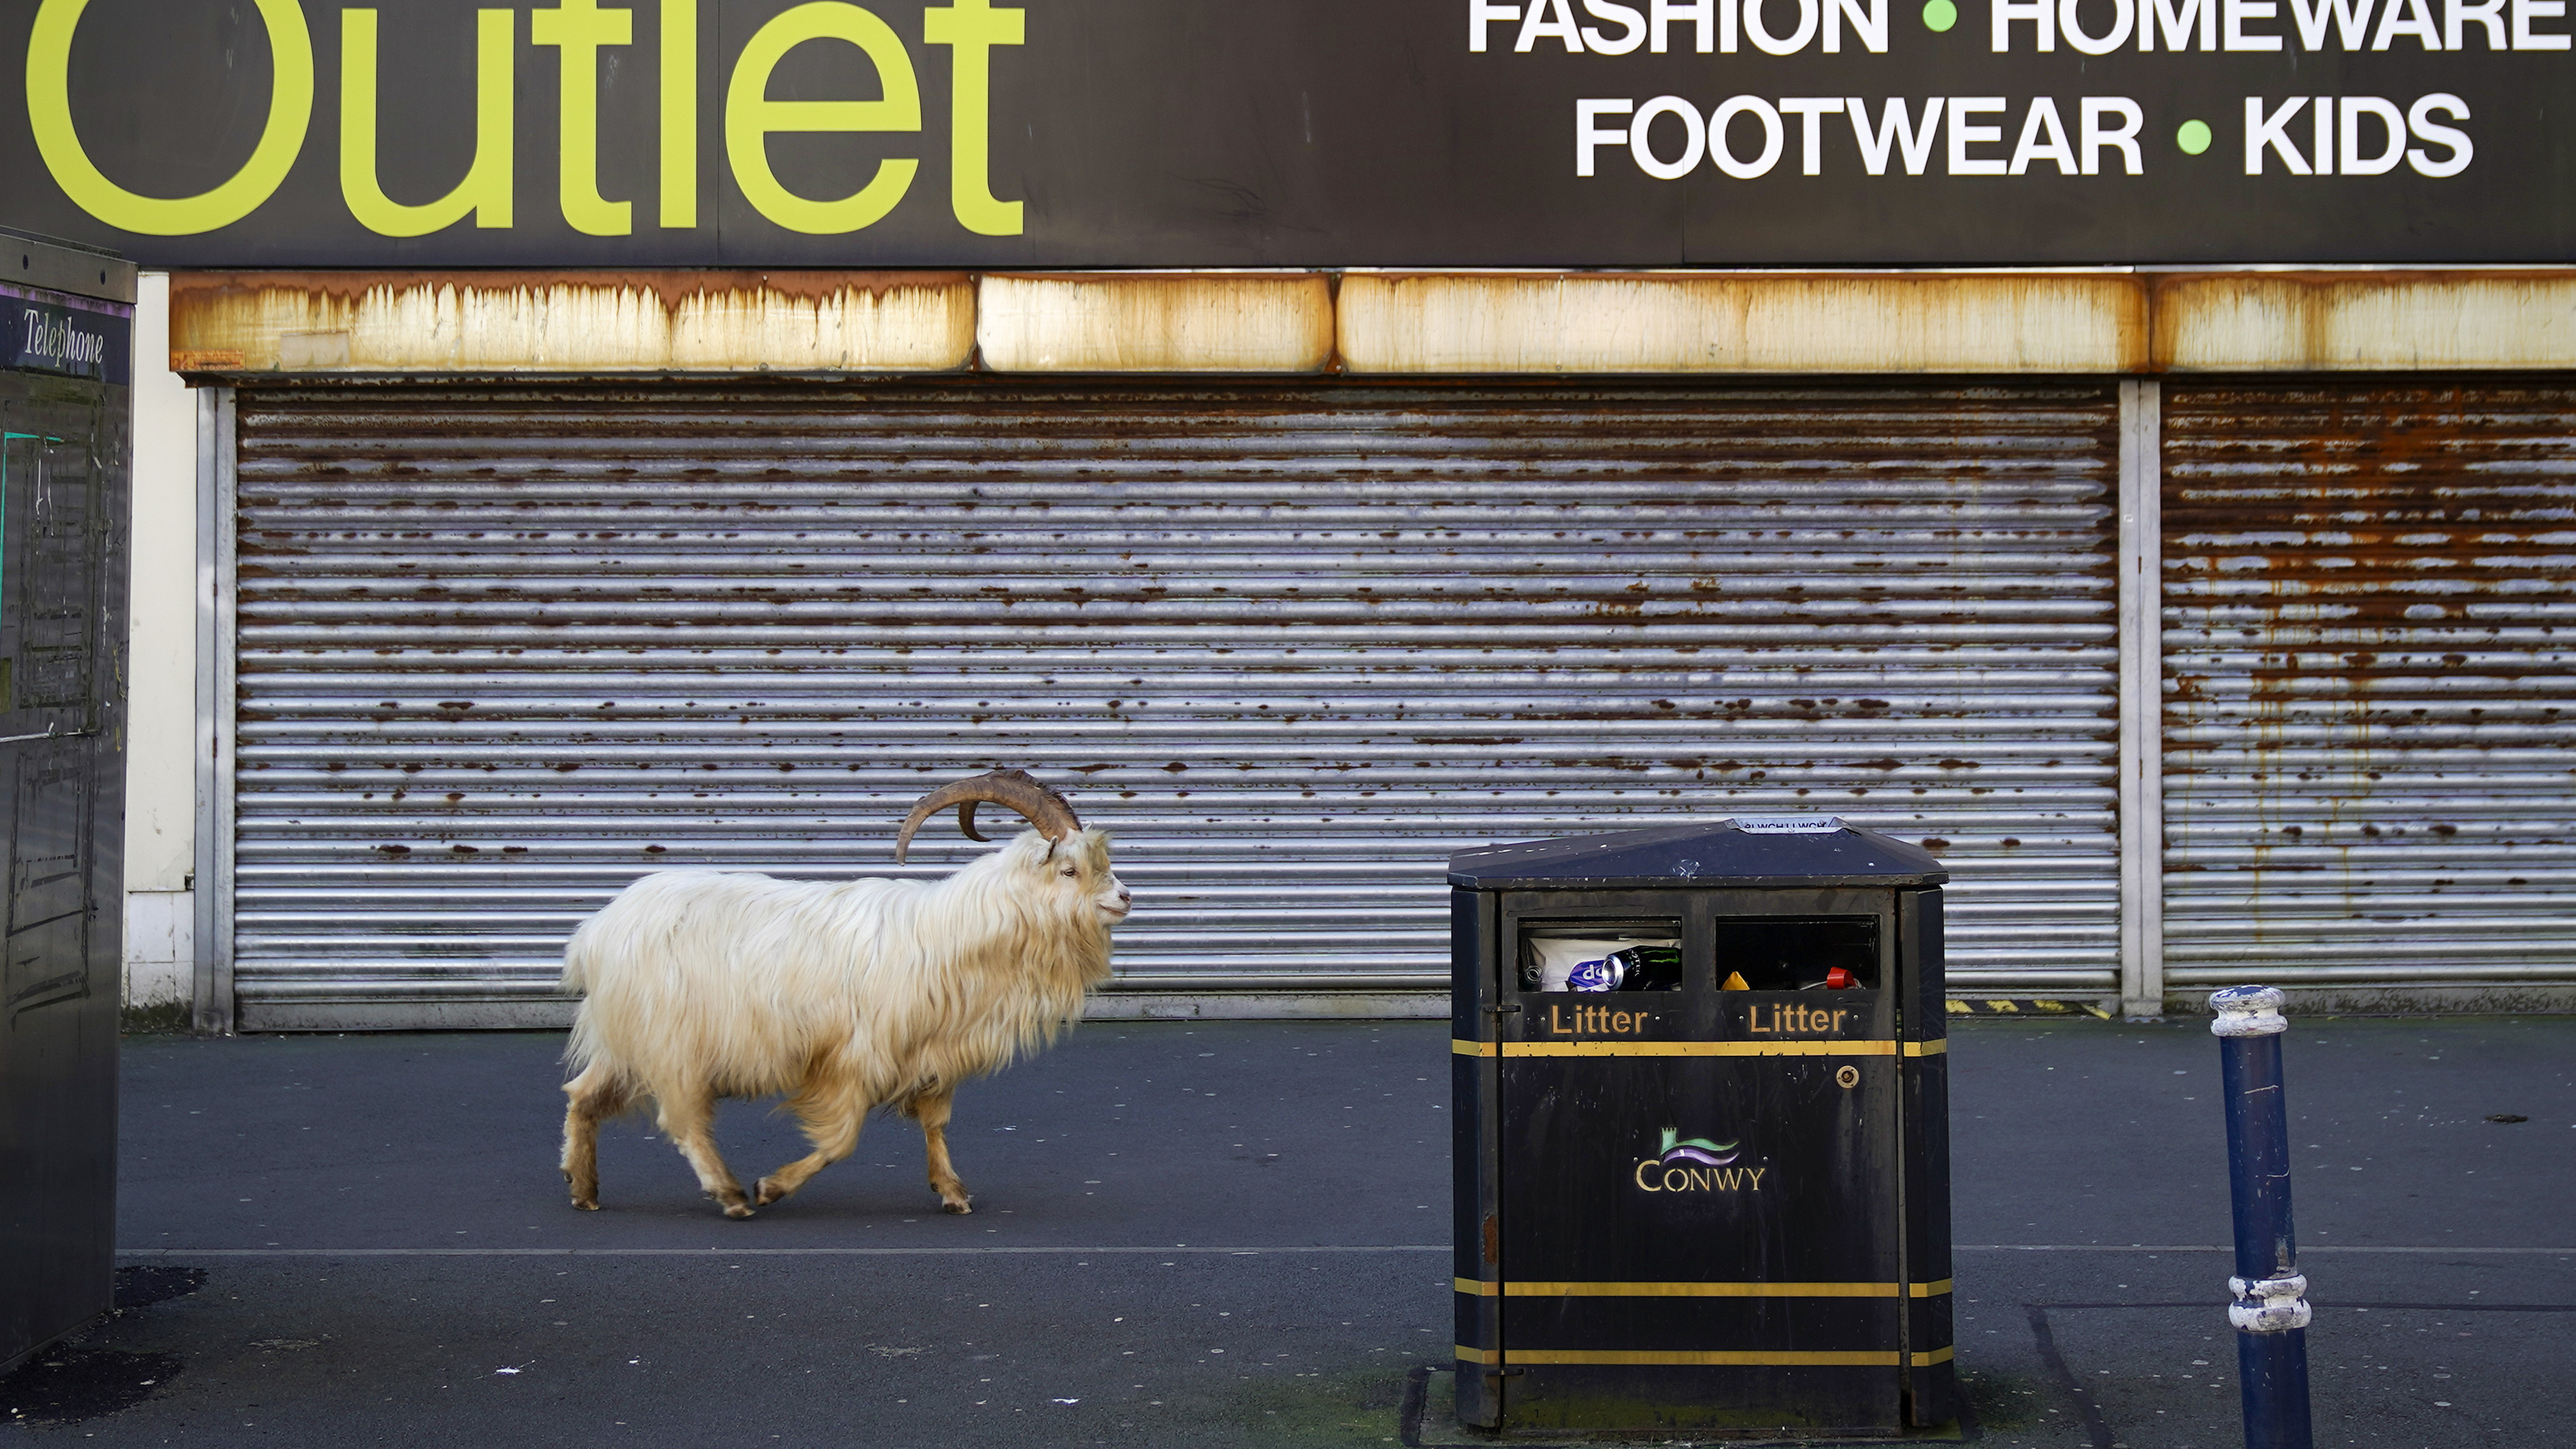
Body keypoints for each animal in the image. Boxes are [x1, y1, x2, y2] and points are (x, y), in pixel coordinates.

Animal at [557, 770, 1130, 1219]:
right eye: (1070, 870)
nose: (1125, 898)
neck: (952, 932)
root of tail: (596, 931)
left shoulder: (932, 1055)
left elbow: (936, 1123)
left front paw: (952, 1192)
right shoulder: (853, 1057)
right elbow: (840, 1139)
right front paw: (772, 1187)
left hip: (627, 1036)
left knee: (584, 1094)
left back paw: (583, 1188)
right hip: (674, 1041)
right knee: (683, 1119)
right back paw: (731, 1194)